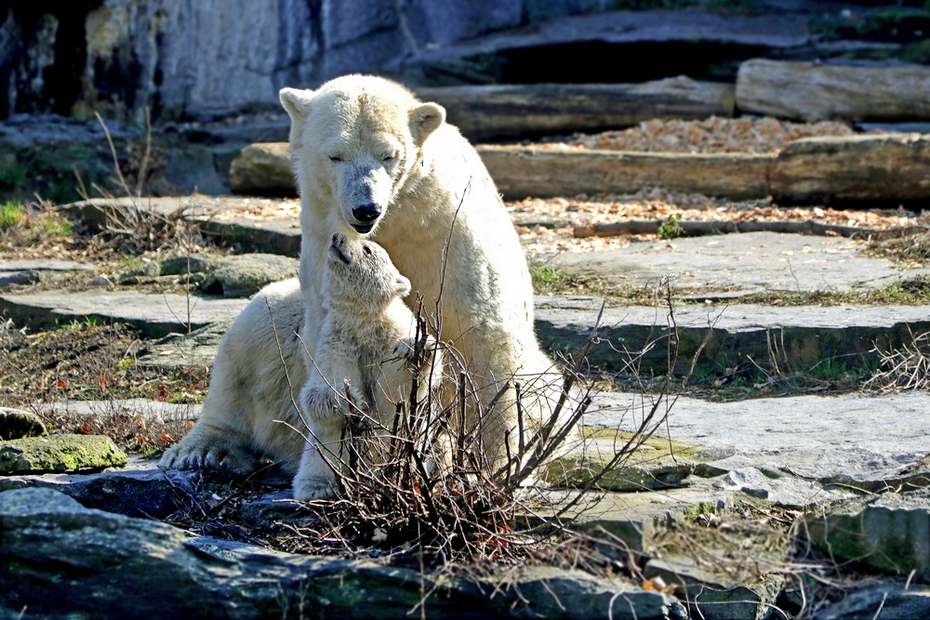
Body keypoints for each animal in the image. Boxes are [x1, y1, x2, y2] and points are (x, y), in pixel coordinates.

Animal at [280, 77, 560, 472]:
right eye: (335, 155)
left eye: (388, 155)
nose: (366, 209)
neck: (397, 220)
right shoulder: (321, 240)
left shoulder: (447, 238)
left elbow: (486, 337)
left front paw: (494, 463)